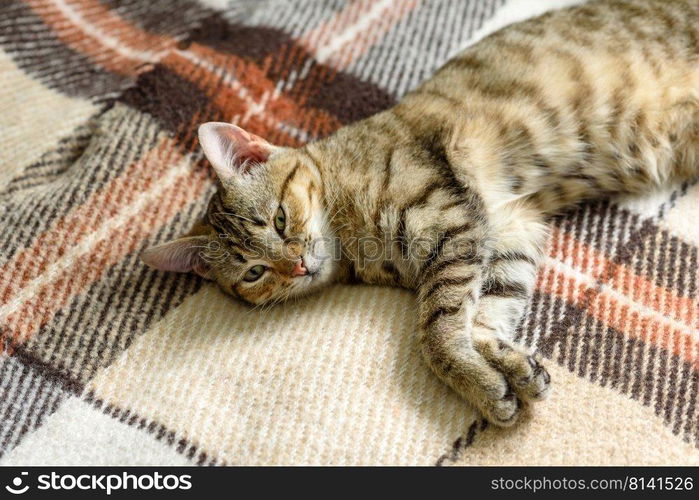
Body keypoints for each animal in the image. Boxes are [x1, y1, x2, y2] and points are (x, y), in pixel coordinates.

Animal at [142, 0, 699, 428]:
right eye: (254, 273)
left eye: (279, 220)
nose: (297, 266)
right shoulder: (508, 230)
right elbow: (484, 313)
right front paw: (500, 369)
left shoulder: (451, 221)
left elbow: (437, 331)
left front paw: (472, 374)